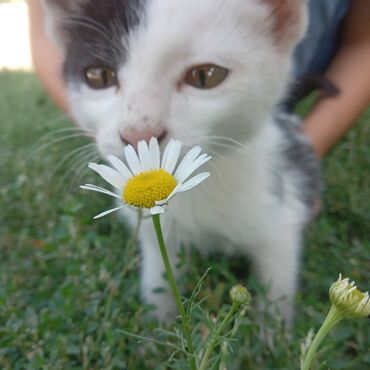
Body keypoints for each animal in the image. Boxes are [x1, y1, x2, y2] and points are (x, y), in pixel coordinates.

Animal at [42, 0, 320, 324]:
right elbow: (159, 279)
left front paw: (274, 334)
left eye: (206, 75)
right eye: (98, 76)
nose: (139, 133)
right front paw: (157, 326)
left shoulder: (281, 216)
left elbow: (276, 289)